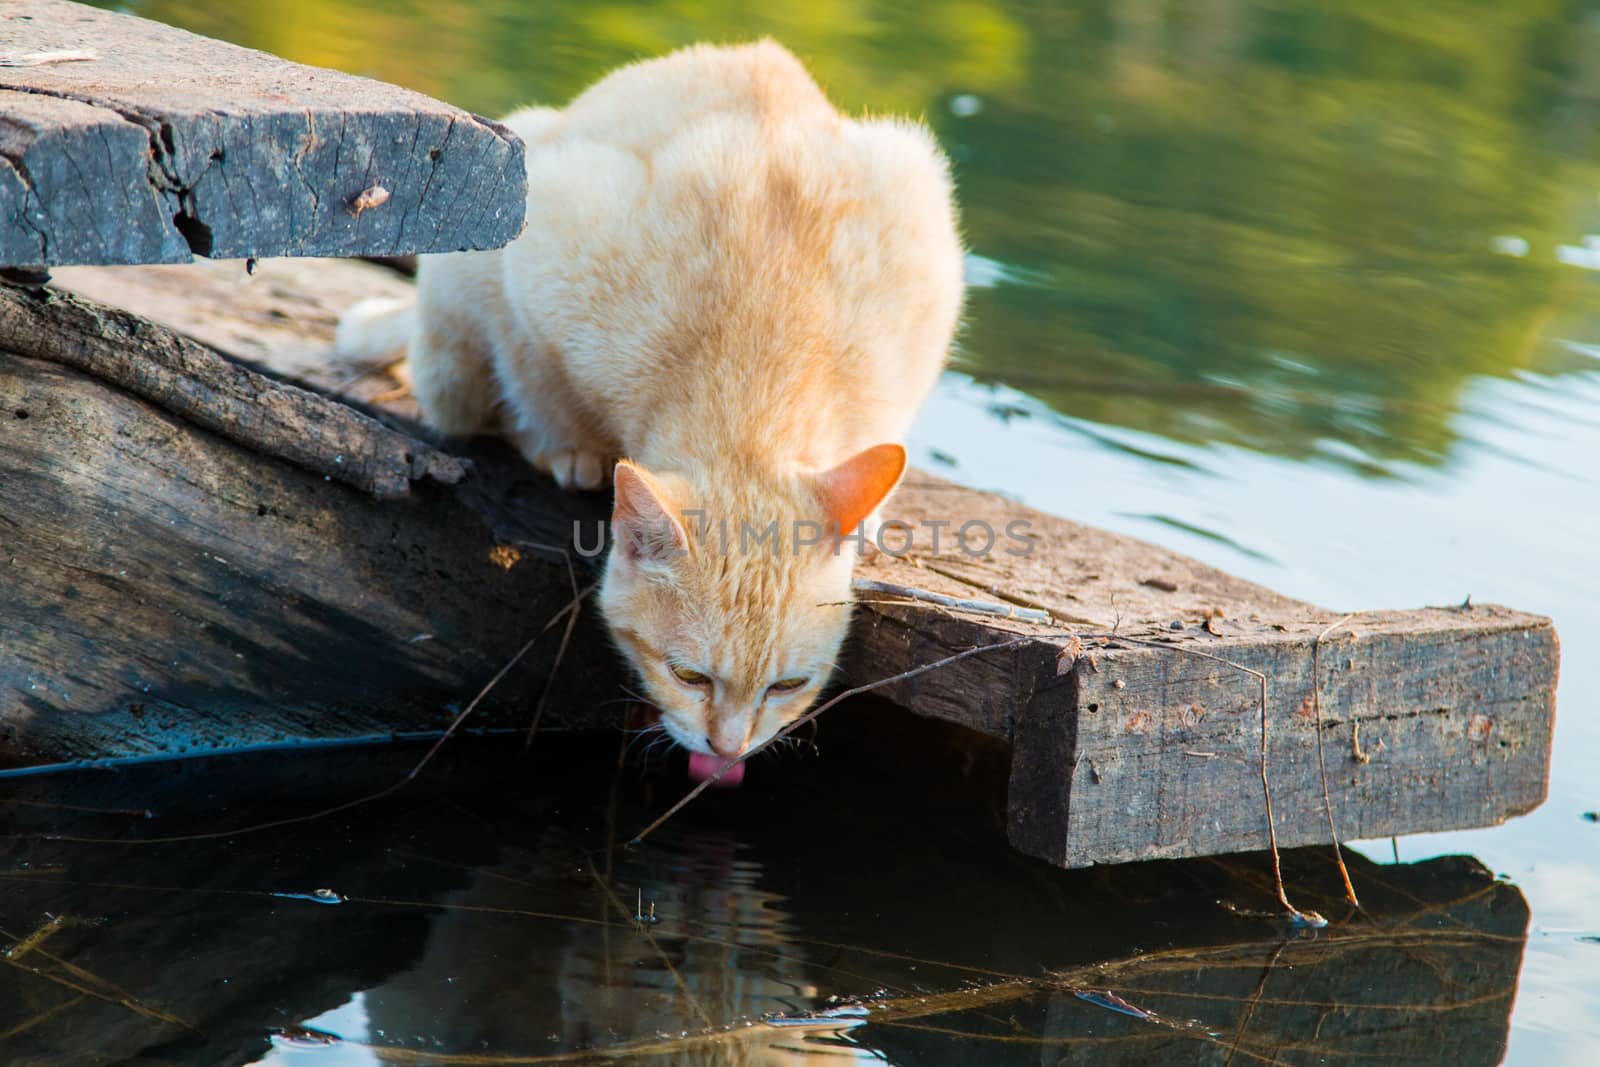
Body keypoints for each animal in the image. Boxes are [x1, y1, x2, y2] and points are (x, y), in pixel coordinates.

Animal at [337, 41, 960, 777]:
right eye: (688, 675)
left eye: (787, 685)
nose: (729, 748)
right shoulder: (536, 239)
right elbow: (535, 376)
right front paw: (565, 445)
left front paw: (867, 524)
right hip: (461, 317)